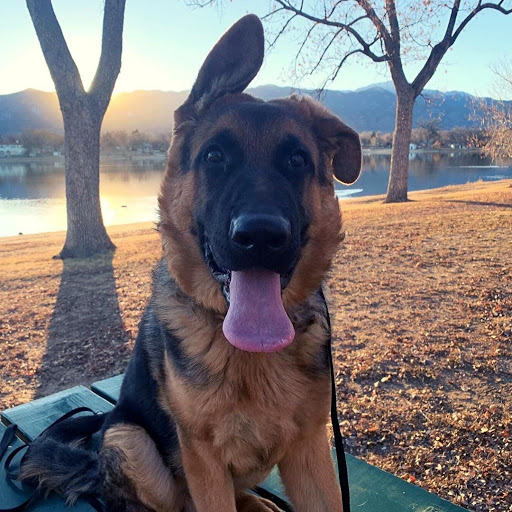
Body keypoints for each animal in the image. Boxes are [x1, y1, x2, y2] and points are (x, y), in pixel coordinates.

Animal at [20, 14, 362, 510]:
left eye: (297, 160)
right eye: (214, 157)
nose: (260, 236)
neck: (249, 354)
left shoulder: (311, 450)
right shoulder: (203, 459)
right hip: (131, 442)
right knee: (169, 499)